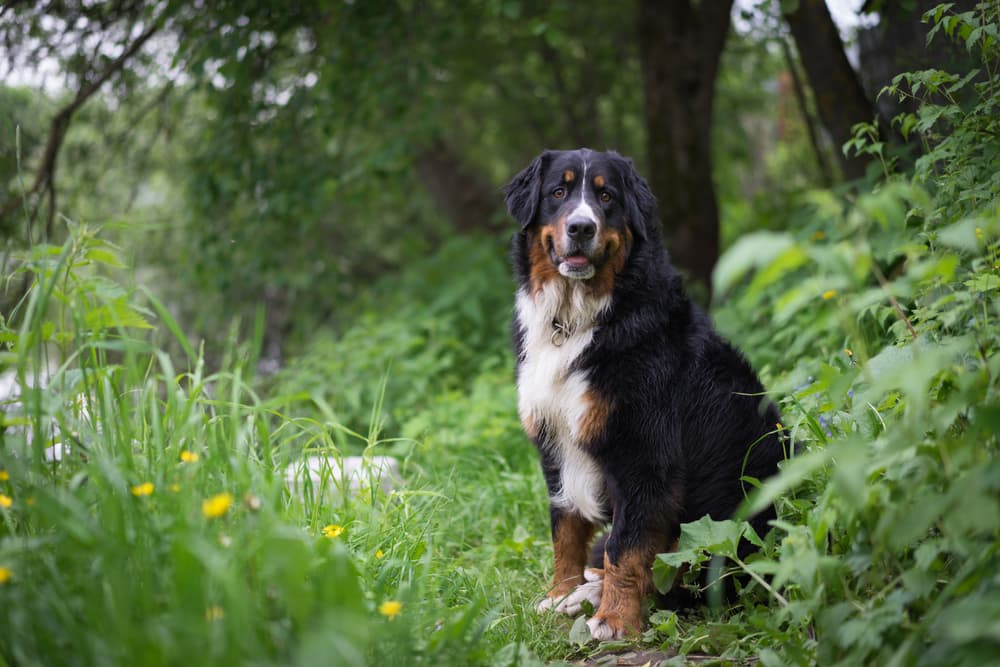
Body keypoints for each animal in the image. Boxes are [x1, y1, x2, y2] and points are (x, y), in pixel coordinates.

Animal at [504, 147, 784, 640]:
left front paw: (615, 619)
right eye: (558, 192)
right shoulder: (555, 444)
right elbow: (566, 528)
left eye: (607, 197)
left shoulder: (644, 455)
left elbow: (626, 546)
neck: (578, 319)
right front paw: (560, 592)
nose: (582, 228)